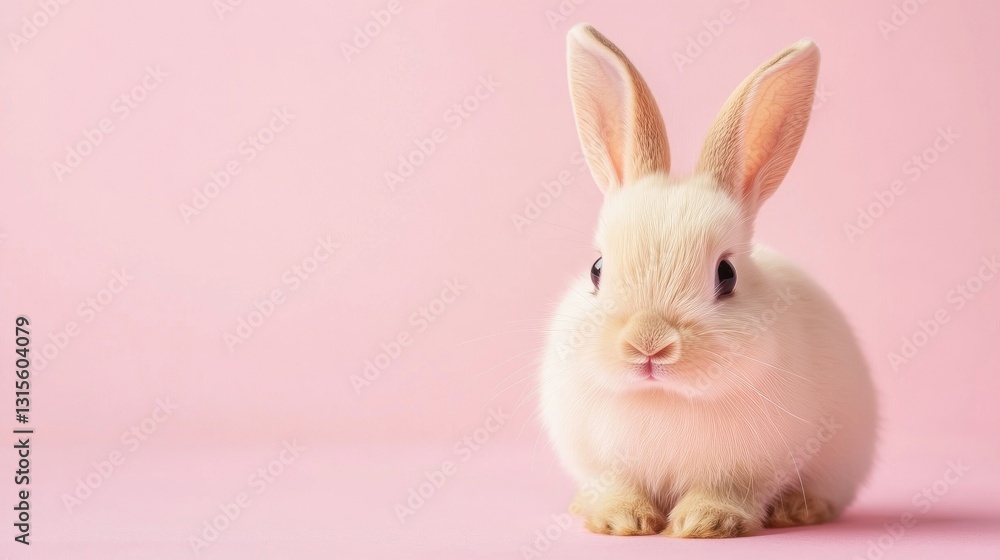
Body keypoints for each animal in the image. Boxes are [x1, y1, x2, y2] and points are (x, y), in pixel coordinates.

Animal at [539, 24, 877, 538]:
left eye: (726, 274)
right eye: (597, 269)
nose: (648, 344)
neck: (663, 399)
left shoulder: (748, 468)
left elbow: (725, 492)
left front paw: (705, 523)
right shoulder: (602, 462)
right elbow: (618, 486)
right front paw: (623, 521)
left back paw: (799, 511)